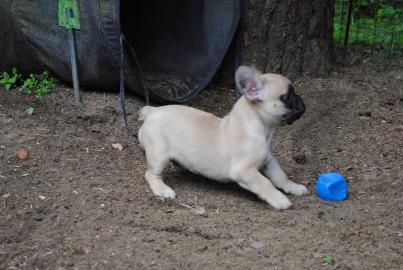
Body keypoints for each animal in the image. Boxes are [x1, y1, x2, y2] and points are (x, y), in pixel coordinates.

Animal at [137, 66, 308, 211]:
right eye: (286, 97)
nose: (300, 99)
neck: (260, 128)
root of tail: (152, 111)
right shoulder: (245, 171)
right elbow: (264, 183)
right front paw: (280, 199)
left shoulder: (269, 161)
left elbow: (280, 175)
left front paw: (294, 187)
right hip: (158, 154)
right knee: (151, 174)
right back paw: (163, 190)